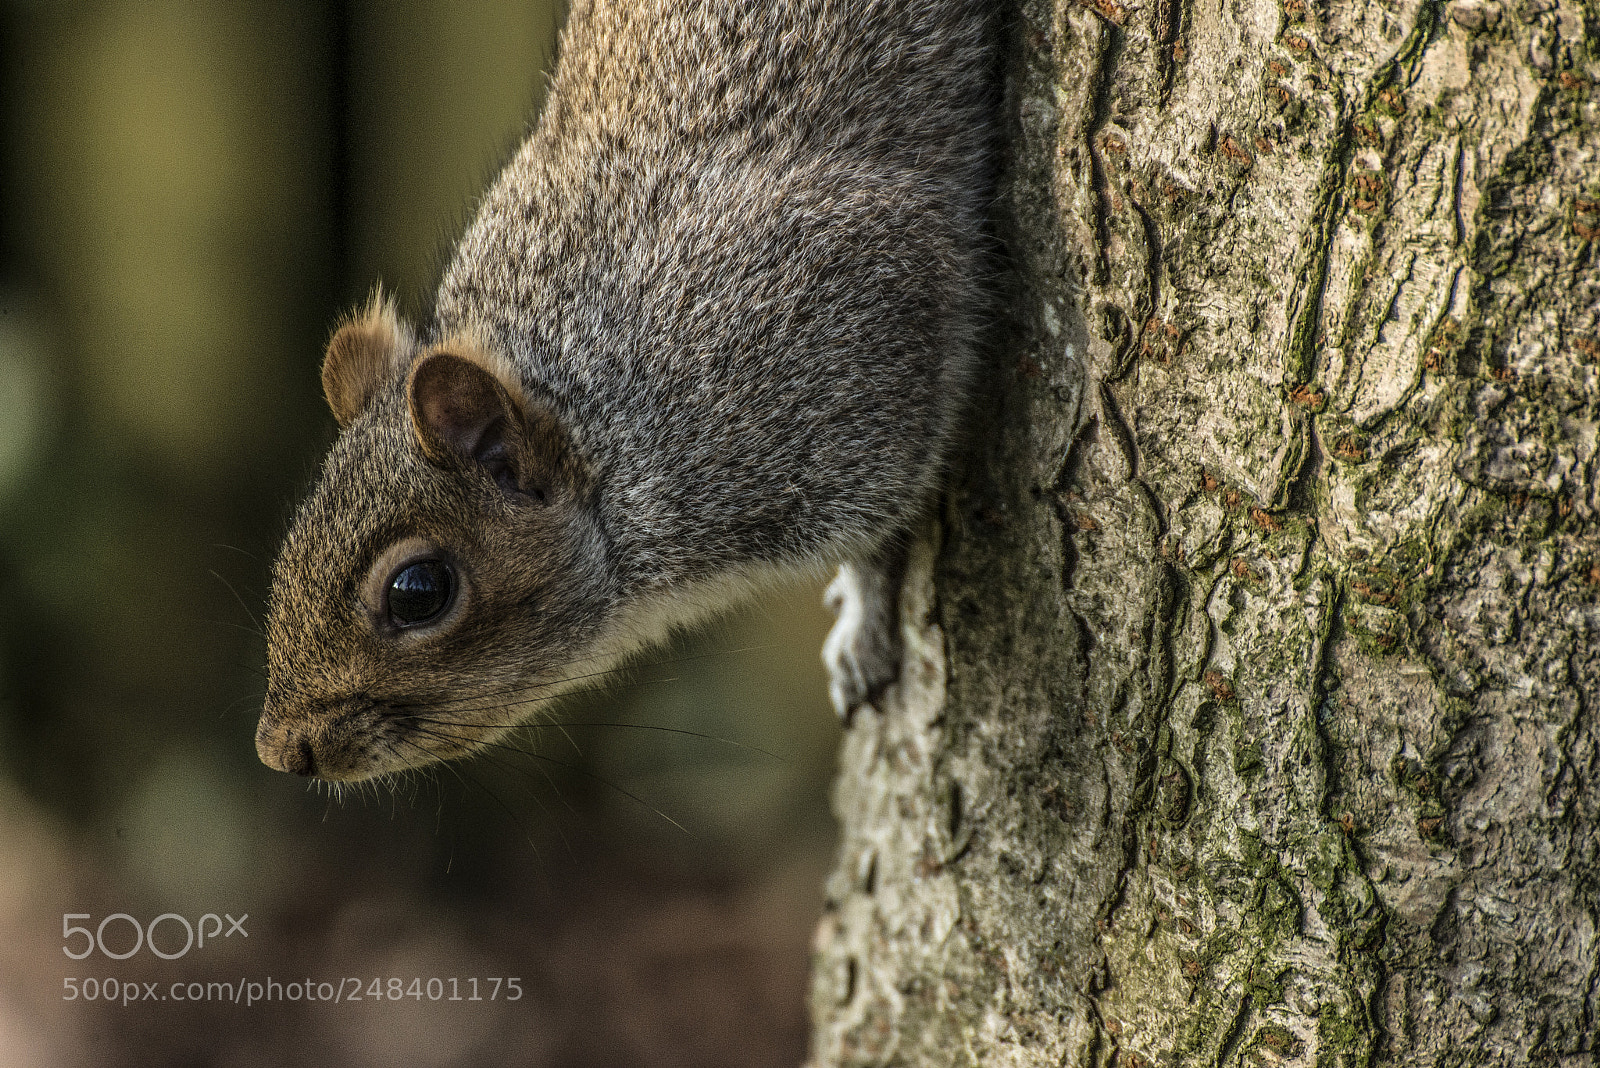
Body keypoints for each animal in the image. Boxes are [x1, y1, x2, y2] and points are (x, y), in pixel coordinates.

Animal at [256, 0, 999, 780]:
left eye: (419, 592)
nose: (280, 750)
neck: (606, 426)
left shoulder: (843, 331)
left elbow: (883, 515)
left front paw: (863, 615)